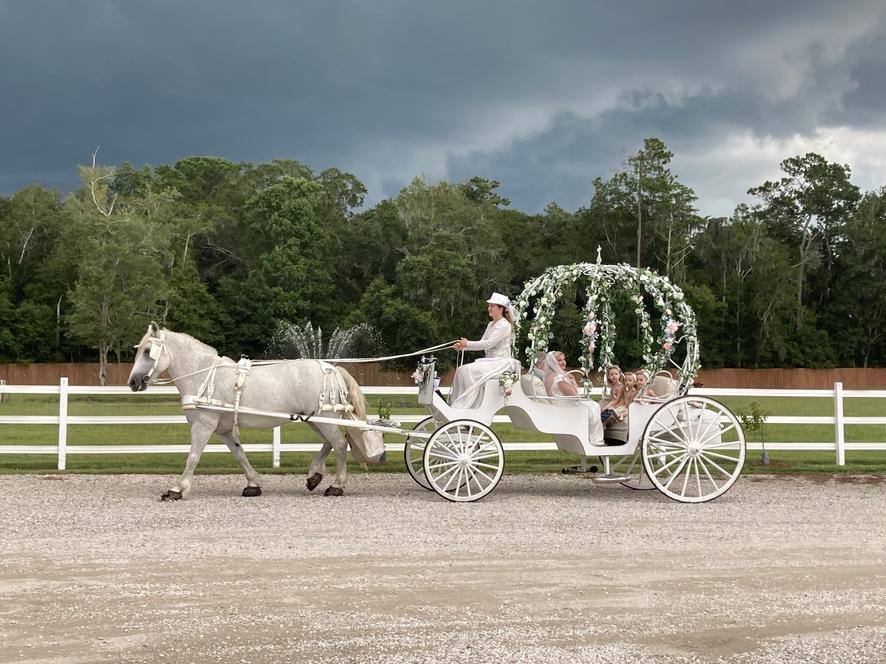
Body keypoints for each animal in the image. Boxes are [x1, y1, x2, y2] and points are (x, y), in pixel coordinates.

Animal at [127, 324, 386, 500]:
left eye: (148, 351)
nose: (133, 382)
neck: (204, 376)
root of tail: (330, 367)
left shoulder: (203, 426)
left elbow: (193, 457)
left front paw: (177, 489)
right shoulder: (223, 430)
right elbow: (239, 454)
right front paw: (253, 484)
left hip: (325, 419)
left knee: (340, 445)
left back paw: (336, 486)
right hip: (315, 419)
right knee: (330, 443)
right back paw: (314, 476)